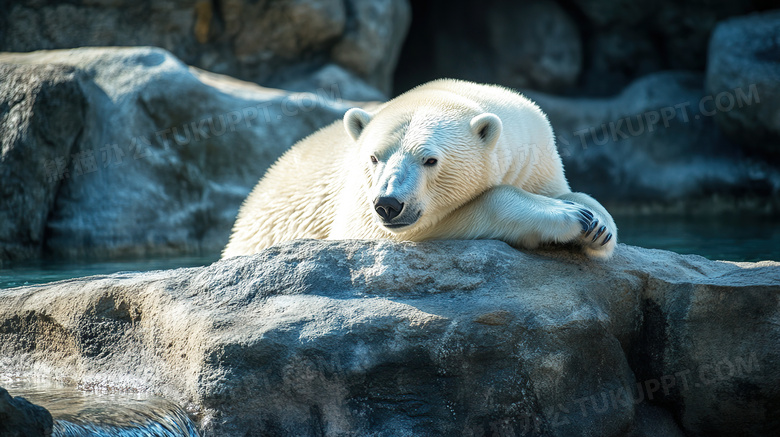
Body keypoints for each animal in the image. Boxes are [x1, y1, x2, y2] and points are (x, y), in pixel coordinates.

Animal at [222, 79, 620, 258]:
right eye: (374, 157)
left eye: (430, 159)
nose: (388, 204)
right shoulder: (359, 206)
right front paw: (570, 217)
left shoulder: (535, 158)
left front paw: (597, 223)